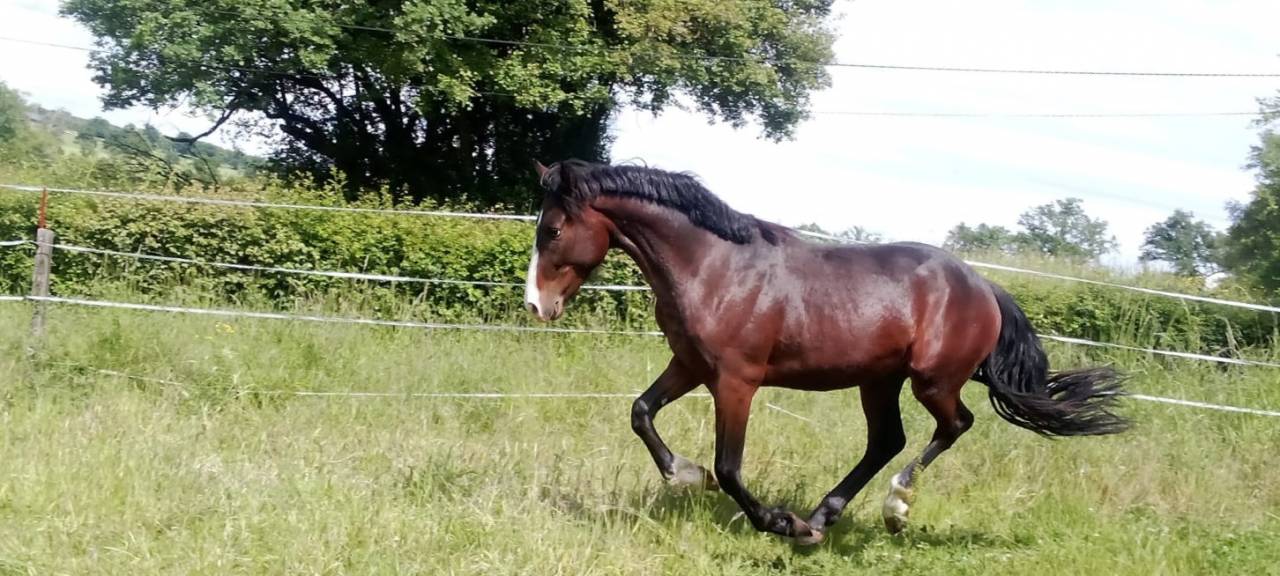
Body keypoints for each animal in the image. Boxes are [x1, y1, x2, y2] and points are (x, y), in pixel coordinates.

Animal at [523, 159, 1127, 544]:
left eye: (552, 230)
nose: (536, 304)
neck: (713, 267)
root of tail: (984, 286)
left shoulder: (736, 381)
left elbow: (730, 467)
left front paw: (779, 523)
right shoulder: (690, 365)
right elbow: (641, 412)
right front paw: (685, 477)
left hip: (932, 380)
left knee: (953, 425)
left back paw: (892, 509)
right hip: (878, 380)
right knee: (887, 440)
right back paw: (824, 515)